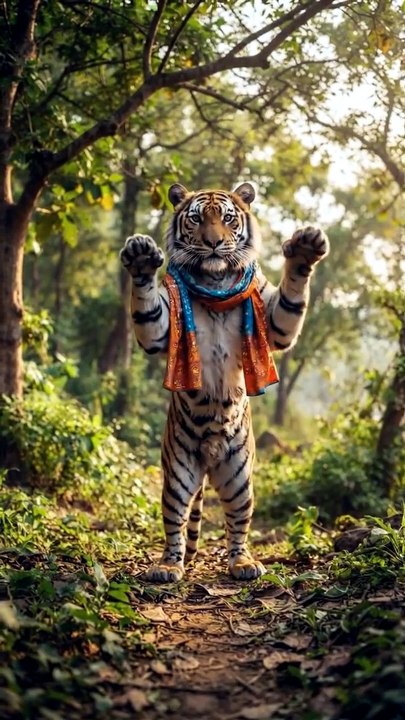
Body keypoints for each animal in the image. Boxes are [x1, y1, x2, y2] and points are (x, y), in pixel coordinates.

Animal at [120, 182, 329, 582]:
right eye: (197, 219)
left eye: (229, 219)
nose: (214, 243)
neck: (214, 280)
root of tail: (209, 459)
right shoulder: (162, 326)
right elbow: (147, 309)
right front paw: (140, 258)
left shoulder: (271, 321)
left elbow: (290, 301)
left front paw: (304, 249)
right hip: (178, 472)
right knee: (175, 521)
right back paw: (168, 566)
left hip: (239, 477)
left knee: (238, 524)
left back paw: (243, 563)